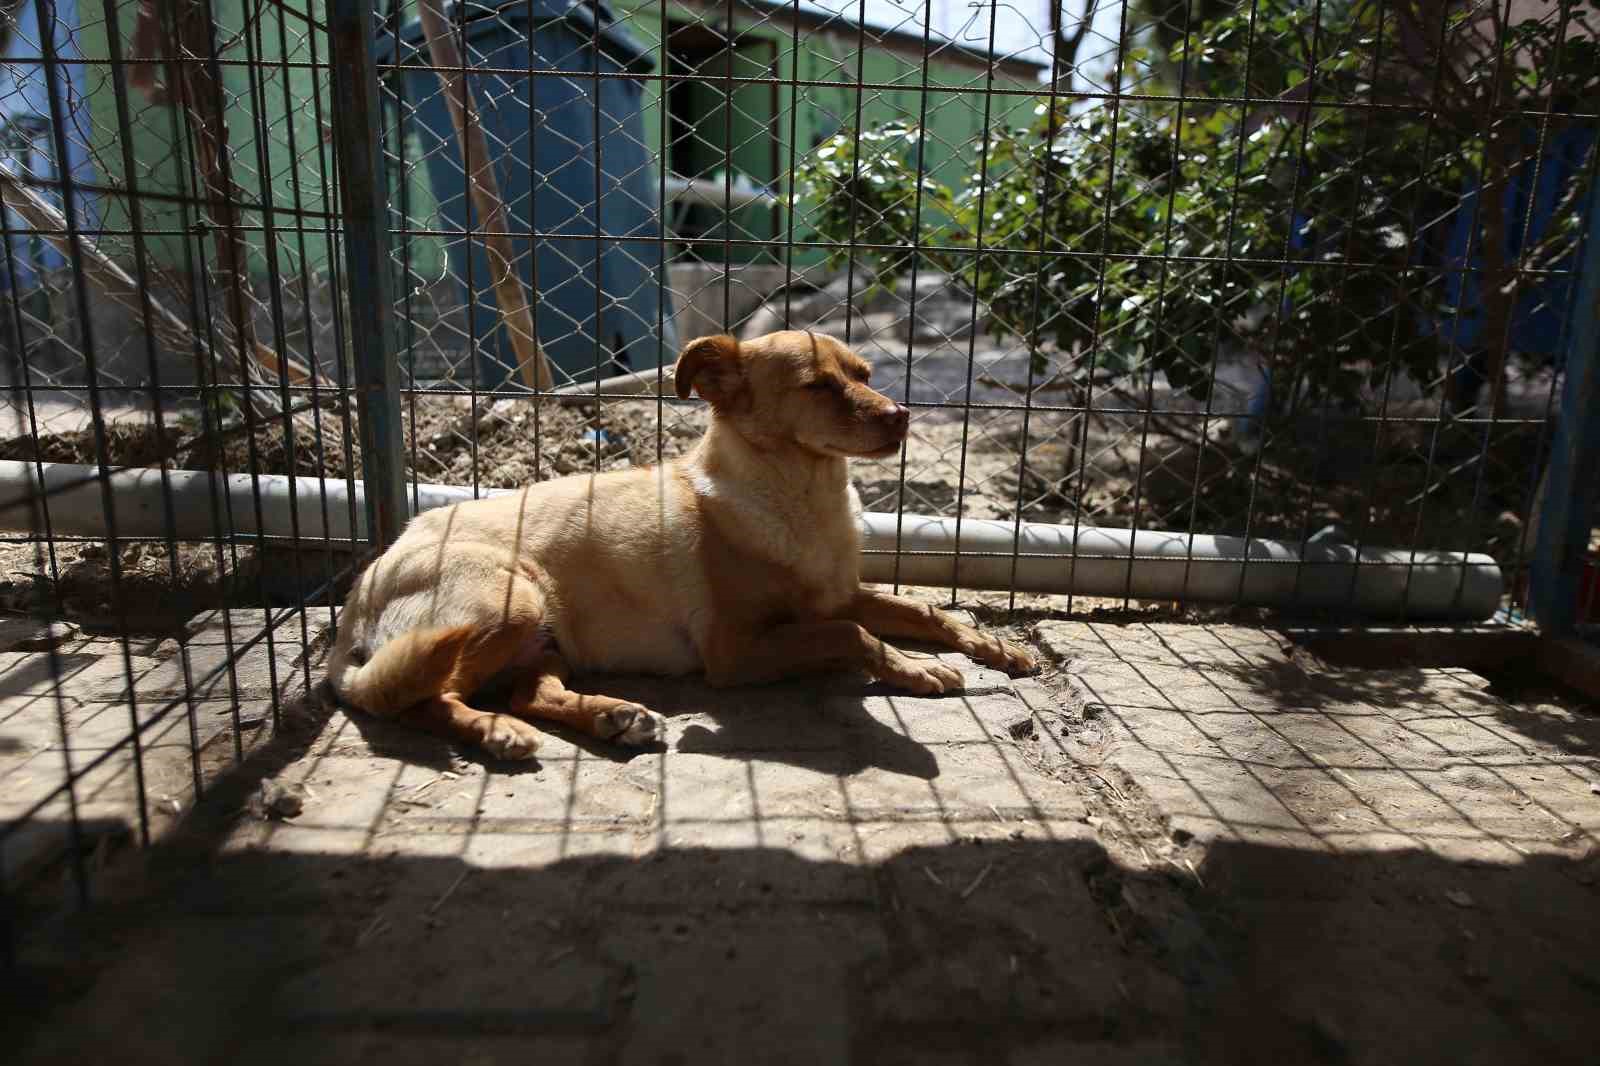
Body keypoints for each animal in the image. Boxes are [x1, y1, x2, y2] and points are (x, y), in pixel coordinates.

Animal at [328, 332, 1036, 755]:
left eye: (864, 374)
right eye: (818, 385)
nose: (901, 417)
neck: (806, 498)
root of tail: (361, 592)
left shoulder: (835, 594)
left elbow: (923, 609)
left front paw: (993, 647)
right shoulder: (735, 650)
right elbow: (855, 636)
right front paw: (916, 669)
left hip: (547, 635)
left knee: (528, 692)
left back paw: (612, 716)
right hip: (509, 601)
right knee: (415, 698)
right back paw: (496, 730)